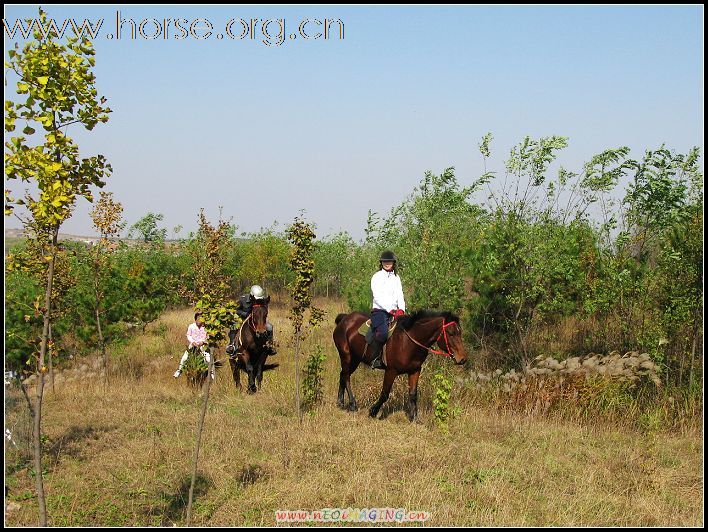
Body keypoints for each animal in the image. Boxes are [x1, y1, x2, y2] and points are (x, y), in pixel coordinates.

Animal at [334, 310, 468, 422]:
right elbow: (385, 394)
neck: (408, 342)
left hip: (355, 359)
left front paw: (414, 418)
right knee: (346, 376)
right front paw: (373, 412)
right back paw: (352, 404)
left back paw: (340, 402)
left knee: (342, 375)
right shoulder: (391, 371)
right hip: (346, 356)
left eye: (460, 332)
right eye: (450, 333)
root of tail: (344, 319)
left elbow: (413, 394)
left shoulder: (415, 371)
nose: (462, 359)